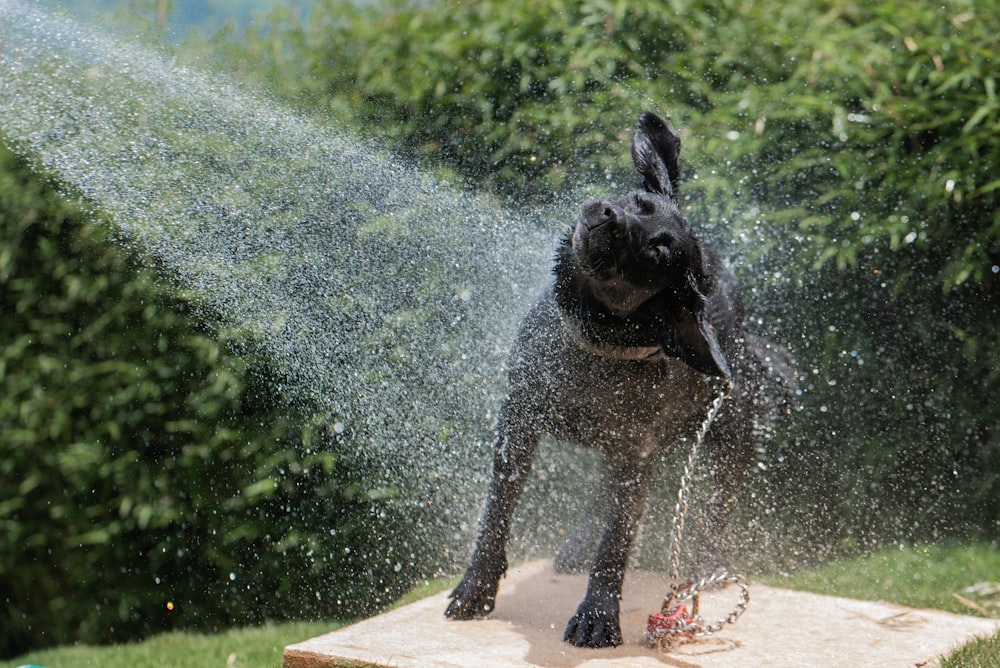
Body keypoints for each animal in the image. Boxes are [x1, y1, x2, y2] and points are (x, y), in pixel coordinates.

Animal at [446, 113, 788, 648]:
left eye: (656, 252)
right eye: (639, 203)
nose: (606, 214)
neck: (595, 349)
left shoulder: (636, 455)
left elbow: (617, 543)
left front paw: (598, 616)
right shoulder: (519, 420)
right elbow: (496, 516)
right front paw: (475, 588)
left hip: (732, 428)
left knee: (717, 506)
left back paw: (708, 566)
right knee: (602, 495)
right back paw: (576, 545)